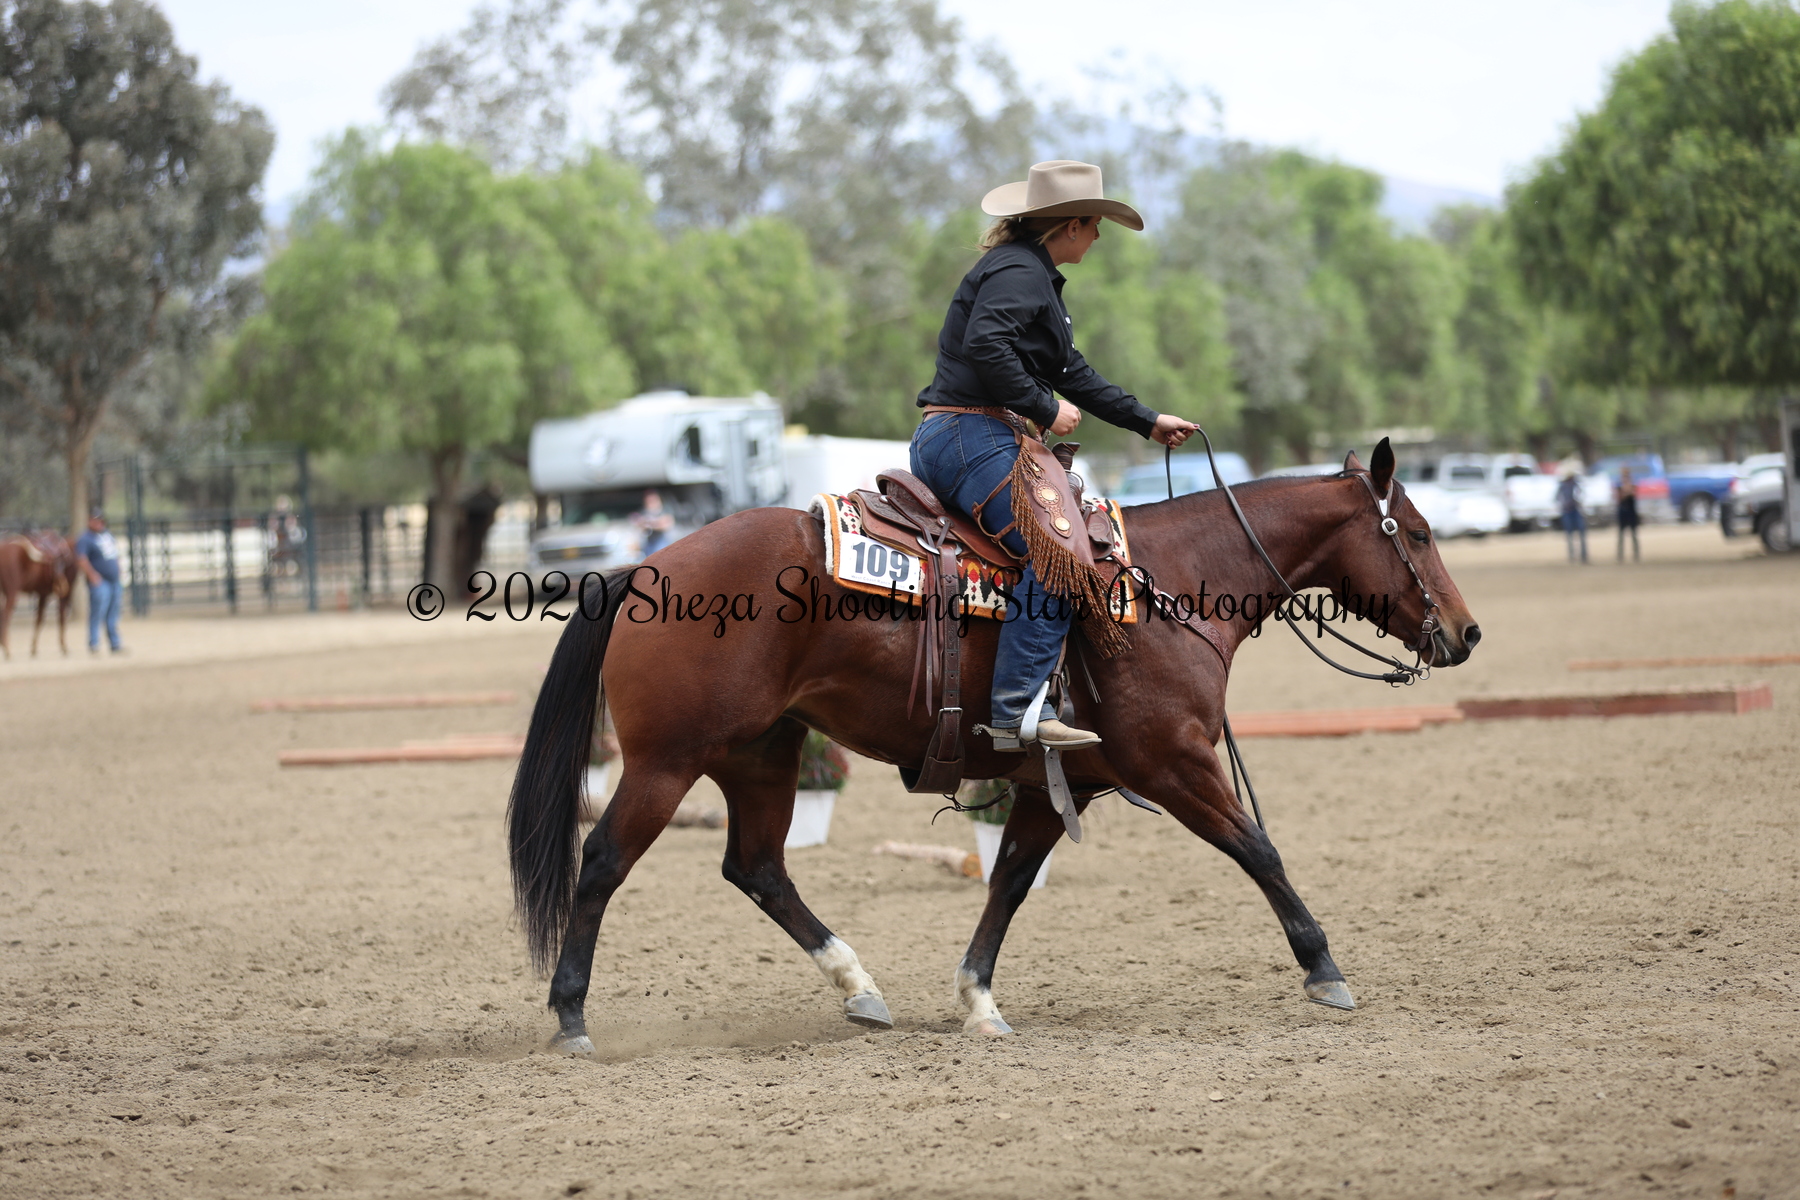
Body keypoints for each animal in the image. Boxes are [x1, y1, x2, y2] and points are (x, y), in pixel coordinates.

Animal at [507, 439, 1481, 1050]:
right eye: (1418, 532)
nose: (1466, 634)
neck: (1164, 588)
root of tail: (642, 567)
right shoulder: (1176, 764)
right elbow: (1259, 848)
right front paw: (1325, 968)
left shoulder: (1059, 784)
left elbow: (1008, 883)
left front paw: (977, 1000)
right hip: (666, 764)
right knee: (602, 863)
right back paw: (570, 1019)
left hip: (761, 754)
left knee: (757, 867)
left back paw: (859, 986)